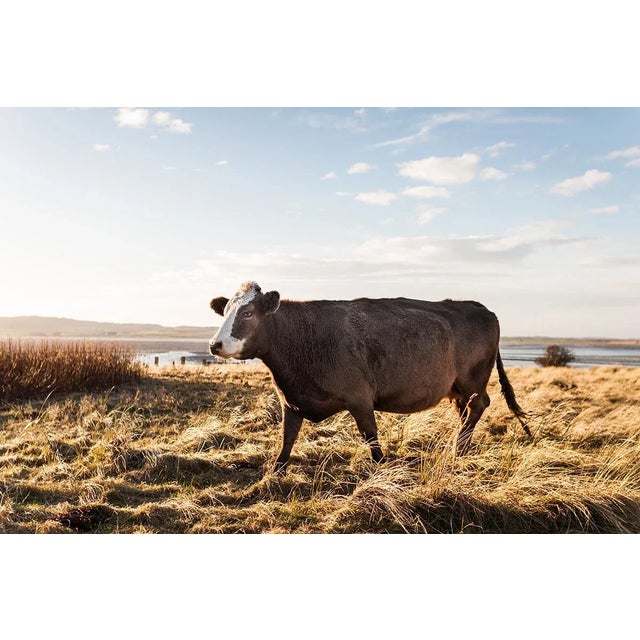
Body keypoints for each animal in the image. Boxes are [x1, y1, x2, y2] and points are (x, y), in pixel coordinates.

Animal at [209, 281, 530, 474]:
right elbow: (287, 440)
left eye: (248, 313)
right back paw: (460, 447)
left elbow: (371, 438)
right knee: (465, 413)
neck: (302, 339)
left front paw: (382, 471)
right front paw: (275, 474)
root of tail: (478, 306)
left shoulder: (360, 398)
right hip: (456, 389)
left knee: (478, 406)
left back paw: (457, 450)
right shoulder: (291, 401)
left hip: (473, 381)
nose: (214, 344)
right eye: (225, 311)